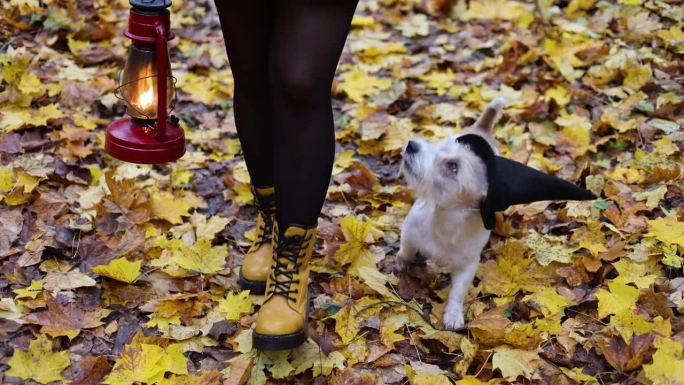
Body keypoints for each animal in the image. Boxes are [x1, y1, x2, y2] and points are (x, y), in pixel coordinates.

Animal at [398, 97, 504, 328]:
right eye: (439, 147)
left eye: (453, 166)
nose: (412, 145)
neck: (446, 219)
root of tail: (481, 129)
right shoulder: (409, 232)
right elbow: (406, 251)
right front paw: (400, 262)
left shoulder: (468, 265)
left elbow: (458, 292)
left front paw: (454, 314)